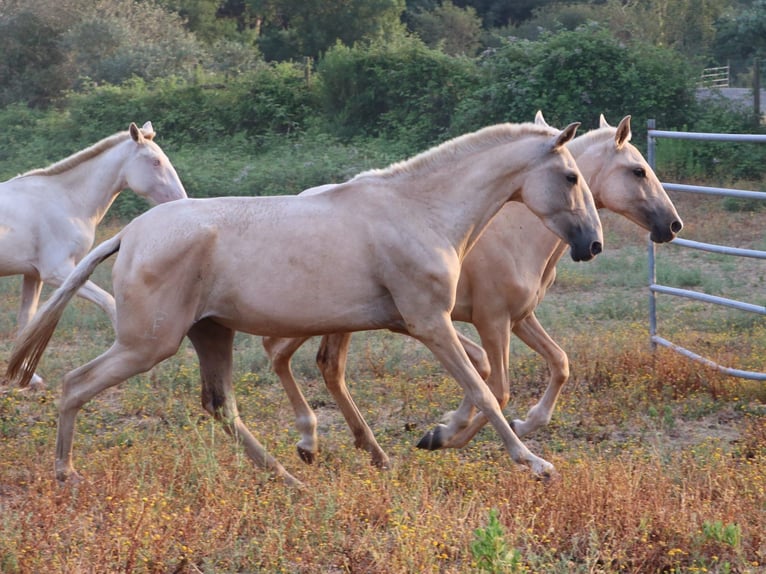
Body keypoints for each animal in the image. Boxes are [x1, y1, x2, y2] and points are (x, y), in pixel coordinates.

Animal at [0, 122, 187, 386]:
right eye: (155, 162)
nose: (182, 200)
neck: (66, 201)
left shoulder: (34, 275)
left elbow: (27, 320)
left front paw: (28, 377)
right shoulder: (58, 272)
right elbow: (109, 302)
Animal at [261, 113, 683, 469]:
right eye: (639, 170)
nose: (673, 224)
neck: (518, 231)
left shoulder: (520, 318)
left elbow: (557, 364)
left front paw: (505, 425)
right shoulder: (491, 320)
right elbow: (497, 387)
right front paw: (446, 435)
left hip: (337, 318)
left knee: (320, 364)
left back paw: (349, 447)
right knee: (282, 352)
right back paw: (310, 441)